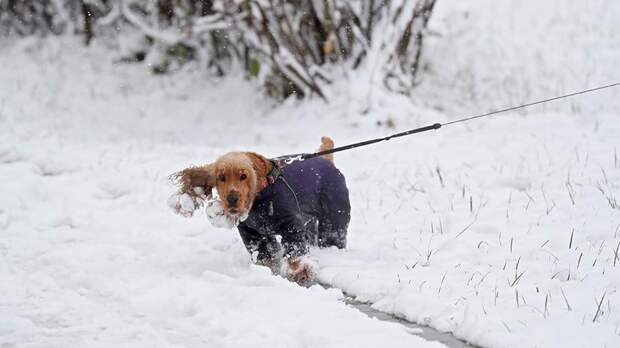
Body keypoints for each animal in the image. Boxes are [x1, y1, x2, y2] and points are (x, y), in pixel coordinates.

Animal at [172, 137, 352, 284]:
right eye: (221, 177)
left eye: (243, 176)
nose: (232, 199)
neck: (261, 197)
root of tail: (325, 159)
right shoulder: (253, 233)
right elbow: (264, 255)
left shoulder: (291, 225)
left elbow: (295, 251)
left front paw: (302, 273)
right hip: (310, 223)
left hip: (333, 220)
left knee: (333, 236)